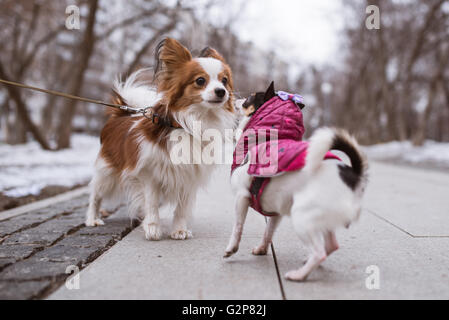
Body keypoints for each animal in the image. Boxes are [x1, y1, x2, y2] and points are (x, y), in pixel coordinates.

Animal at [85, 38, 236, 240]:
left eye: (224, 81)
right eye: (200, 81)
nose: (221, 91)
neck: (191, 122)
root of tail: (120, 115)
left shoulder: (188, 177)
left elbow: (181, 208)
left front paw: (179, 230)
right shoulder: (149, 175)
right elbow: (152, 204)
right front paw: (152, 228)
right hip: (107, 173)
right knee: (95, 194)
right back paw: (92, 219)